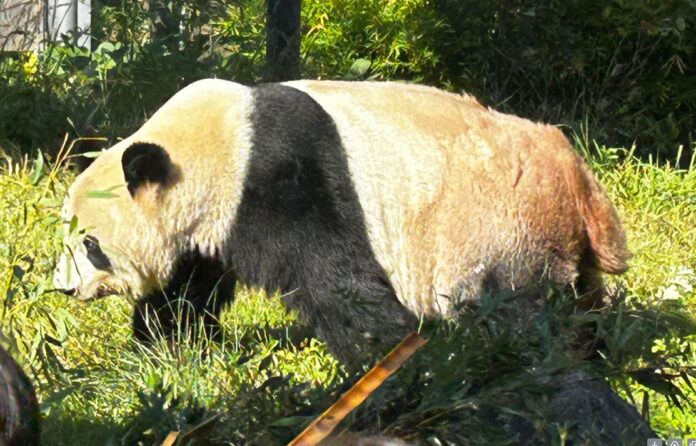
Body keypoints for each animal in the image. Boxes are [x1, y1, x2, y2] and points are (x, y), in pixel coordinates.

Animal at [53, 78, 632, 368]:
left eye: (91, 244)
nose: (63, 288)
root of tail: (578, 179)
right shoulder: (207, 224)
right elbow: (184, 291)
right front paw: (162, 350)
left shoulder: (279, 175)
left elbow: (336, 280)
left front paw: (389, 361)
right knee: (580, 298)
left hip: (499, 230)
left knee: (513, 308)